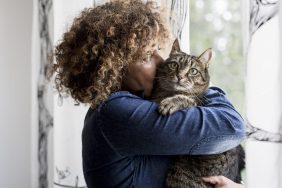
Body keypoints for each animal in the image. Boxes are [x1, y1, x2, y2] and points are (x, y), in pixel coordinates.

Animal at [151, 39, 246, 187]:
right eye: (174, 65)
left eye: (193, 71)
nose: (180, 76)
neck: (167, 92)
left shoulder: (198, 102)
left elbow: (186, 99)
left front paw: (170, 103)